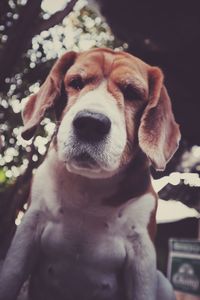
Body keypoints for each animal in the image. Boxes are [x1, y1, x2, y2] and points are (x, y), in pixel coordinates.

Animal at [0, 48, 179, 298]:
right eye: (76, 82)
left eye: (132, 93)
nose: (90, 123)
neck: (89, 189)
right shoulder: (27, 229)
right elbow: (12, 276)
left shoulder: (142, 255)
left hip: (163, 282)